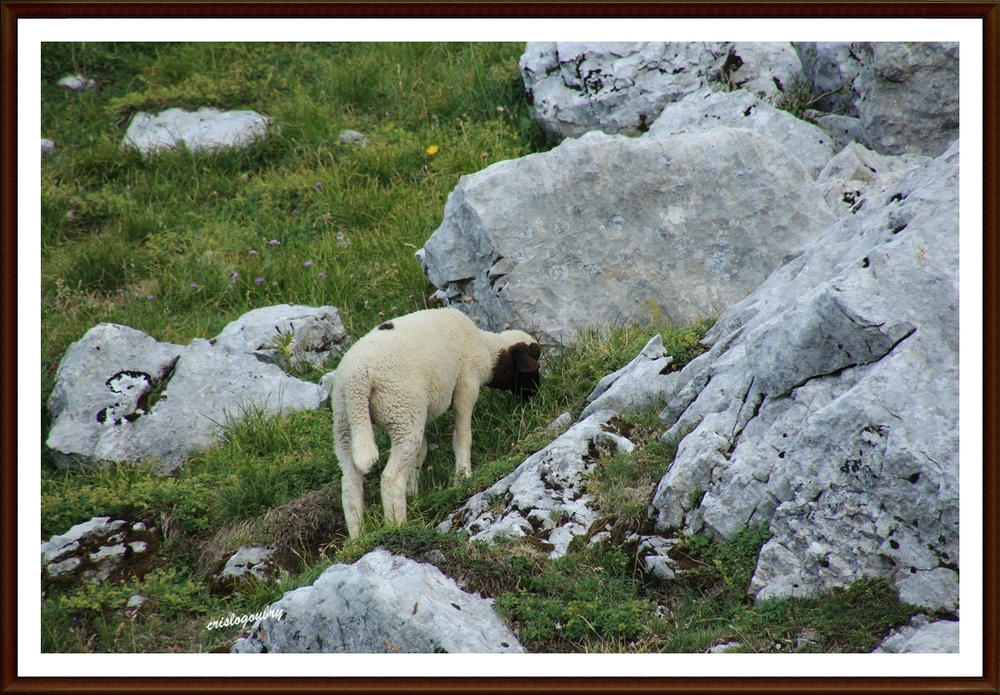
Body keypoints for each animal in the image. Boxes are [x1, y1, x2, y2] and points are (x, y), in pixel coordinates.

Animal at [334, 308, 540, 540]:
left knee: (350, 484)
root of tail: (357, 381)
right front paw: (463, 476)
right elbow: (462, 437)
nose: (536, 392)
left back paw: (357, 537)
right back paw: (397, 525)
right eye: (535, 362)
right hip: (401, 410)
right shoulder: (466, 385)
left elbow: (421, 453)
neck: (487, 349)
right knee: (390, 478)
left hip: (346, 423)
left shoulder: (422, 413)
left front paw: (413, 493)